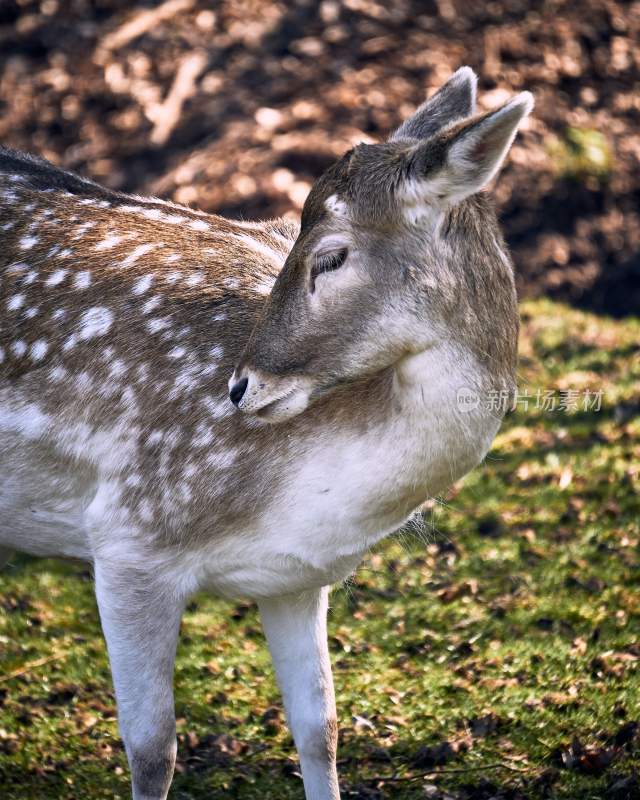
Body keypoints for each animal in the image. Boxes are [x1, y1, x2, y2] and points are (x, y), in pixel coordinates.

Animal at [0, 70, 528, 800]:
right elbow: (153, 751)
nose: (240, 386)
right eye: (286, 230)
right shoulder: (128, 537)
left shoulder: (296, 580)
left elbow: (320, 727)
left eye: (330, 256)